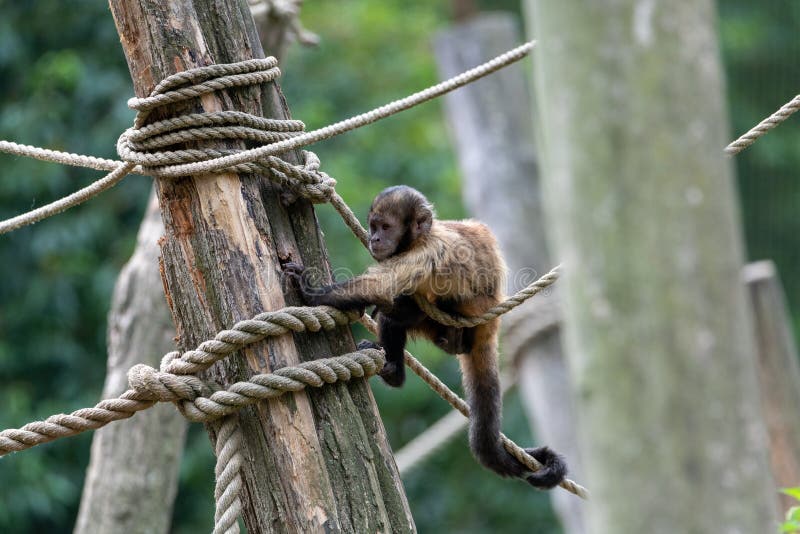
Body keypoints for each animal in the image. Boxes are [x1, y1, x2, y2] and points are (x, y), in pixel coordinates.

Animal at [284, 186, 564, 492]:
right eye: (373, 226)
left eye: (386, 227)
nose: (374, 238)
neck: (419, 238)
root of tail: (490, 321)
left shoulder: (427, 252)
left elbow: (381, 287)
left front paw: (311, 291)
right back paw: (394, 369)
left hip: (462, 314)